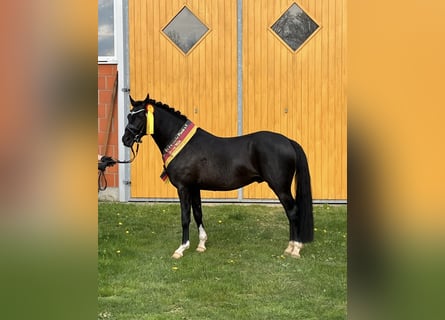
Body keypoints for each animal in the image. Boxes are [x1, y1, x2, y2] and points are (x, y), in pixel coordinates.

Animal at [121, 94, 312, 258]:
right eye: (129, 116)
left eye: (139, 117)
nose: (125, 139)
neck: (185, 146)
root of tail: (288, 141)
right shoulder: (194, 187)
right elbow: (198, 213)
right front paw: (201, 245)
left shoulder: (183, 188)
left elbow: (185, 217)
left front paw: (181, 249)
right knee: (290, 212)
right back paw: (289, 247)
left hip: (280, 187)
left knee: (293, 211)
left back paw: (295, 249)